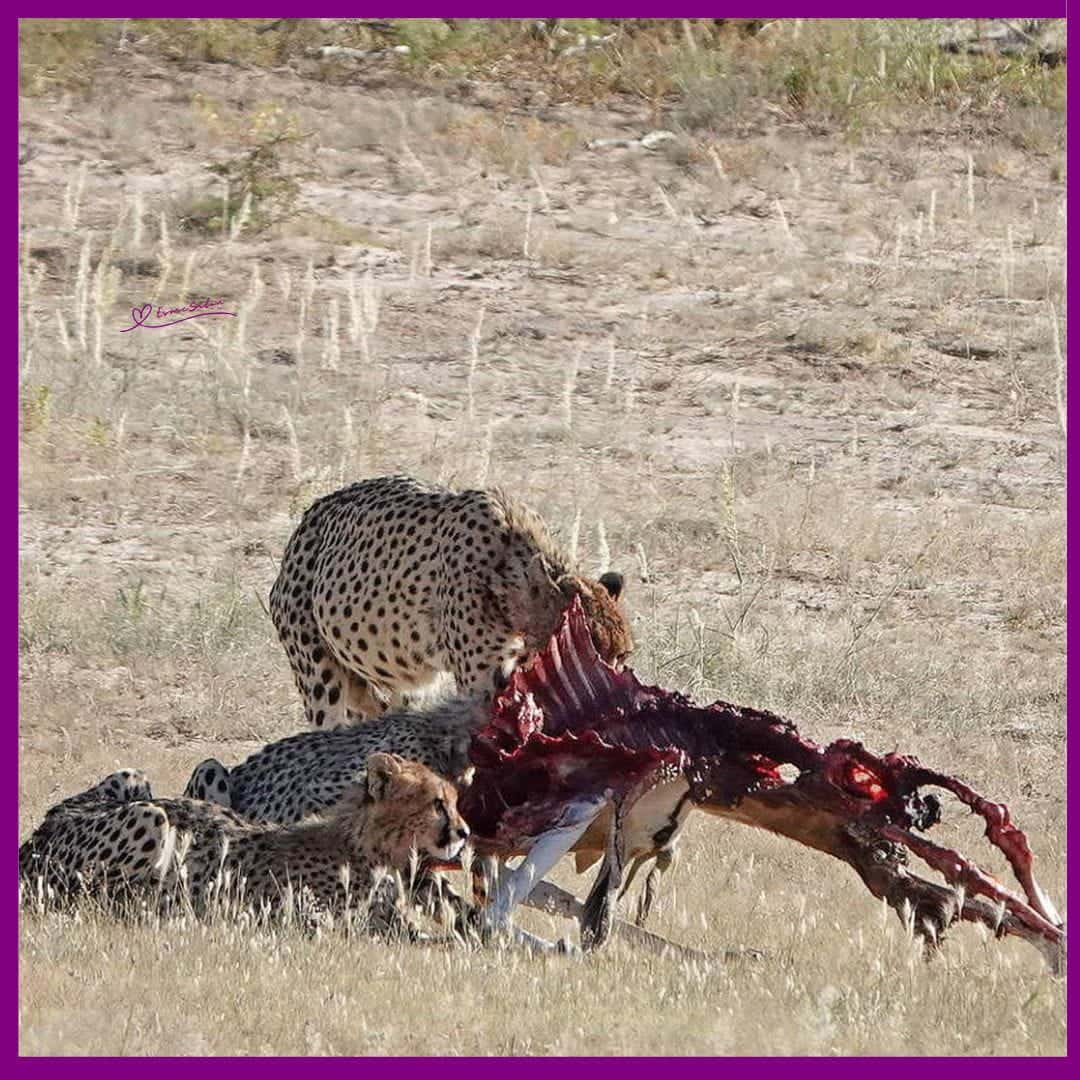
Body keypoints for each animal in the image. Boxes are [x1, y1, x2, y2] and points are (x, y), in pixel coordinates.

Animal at [19, 754, 470, 937]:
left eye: (452, 800)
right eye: (437, 803)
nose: (464, 832)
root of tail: (35, 837)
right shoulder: (308, 915)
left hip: (134, 779)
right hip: (151, 817)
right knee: (100, 902)